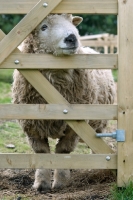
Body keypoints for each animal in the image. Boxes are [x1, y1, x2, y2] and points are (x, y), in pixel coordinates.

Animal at [11, 14, 116, 192]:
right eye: (43, 27)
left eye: (70, 23)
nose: (72, 38)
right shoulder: (32, 125)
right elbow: (42, 153)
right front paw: (41, 183)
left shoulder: (74, 126)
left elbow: (63, 151)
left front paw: (61, 182)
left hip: (99, 122)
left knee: (97, 145)